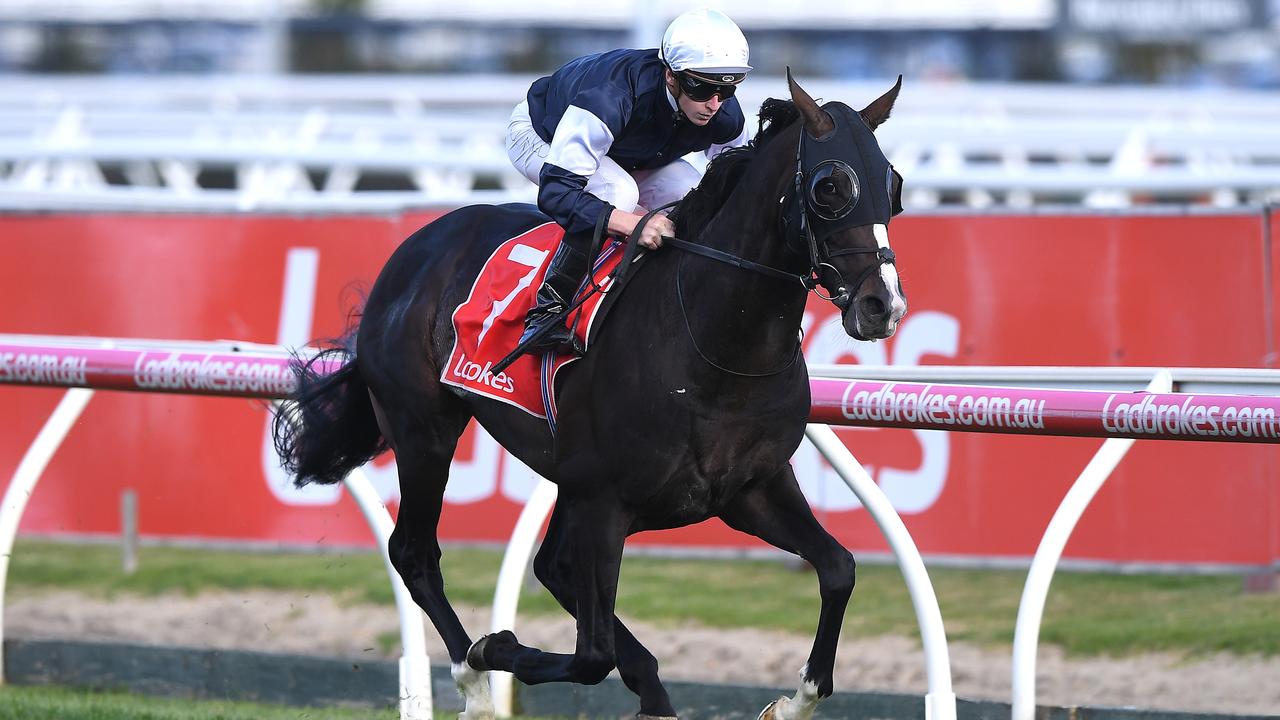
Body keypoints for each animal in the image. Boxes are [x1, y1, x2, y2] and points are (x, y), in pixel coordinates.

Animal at [273, 74, 906, 717]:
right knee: (416, 553)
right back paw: (474, 679)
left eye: (893, 184)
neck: (715, 351)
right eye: (829, 187)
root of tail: (415, 246)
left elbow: (839, 568)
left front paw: (796, 700)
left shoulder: (750, 488)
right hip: (424, 430)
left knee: (548, 566)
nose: (882, 305)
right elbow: (589, 655)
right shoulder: (605, 501)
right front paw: (494, 648)